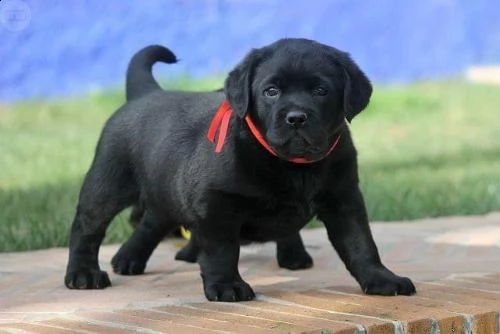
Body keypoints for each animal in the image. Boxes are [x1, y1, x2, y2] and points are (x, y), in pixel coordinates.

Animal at [64, 37, 416, 302]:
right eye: (271, 91)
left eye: (321, 91)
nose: (296, 117)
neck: (291, 163)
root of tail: (147, 93)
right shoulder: (216, 204)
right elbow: (222, 250)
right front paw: (226, 286)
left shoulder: (343, 198)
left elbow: (361, 243)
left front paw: (381, 278)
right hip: (108, 183)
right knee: (87, 228)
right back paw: (83, 274)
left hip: (166, 185)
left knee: (152, 219)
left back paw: (130, 257)